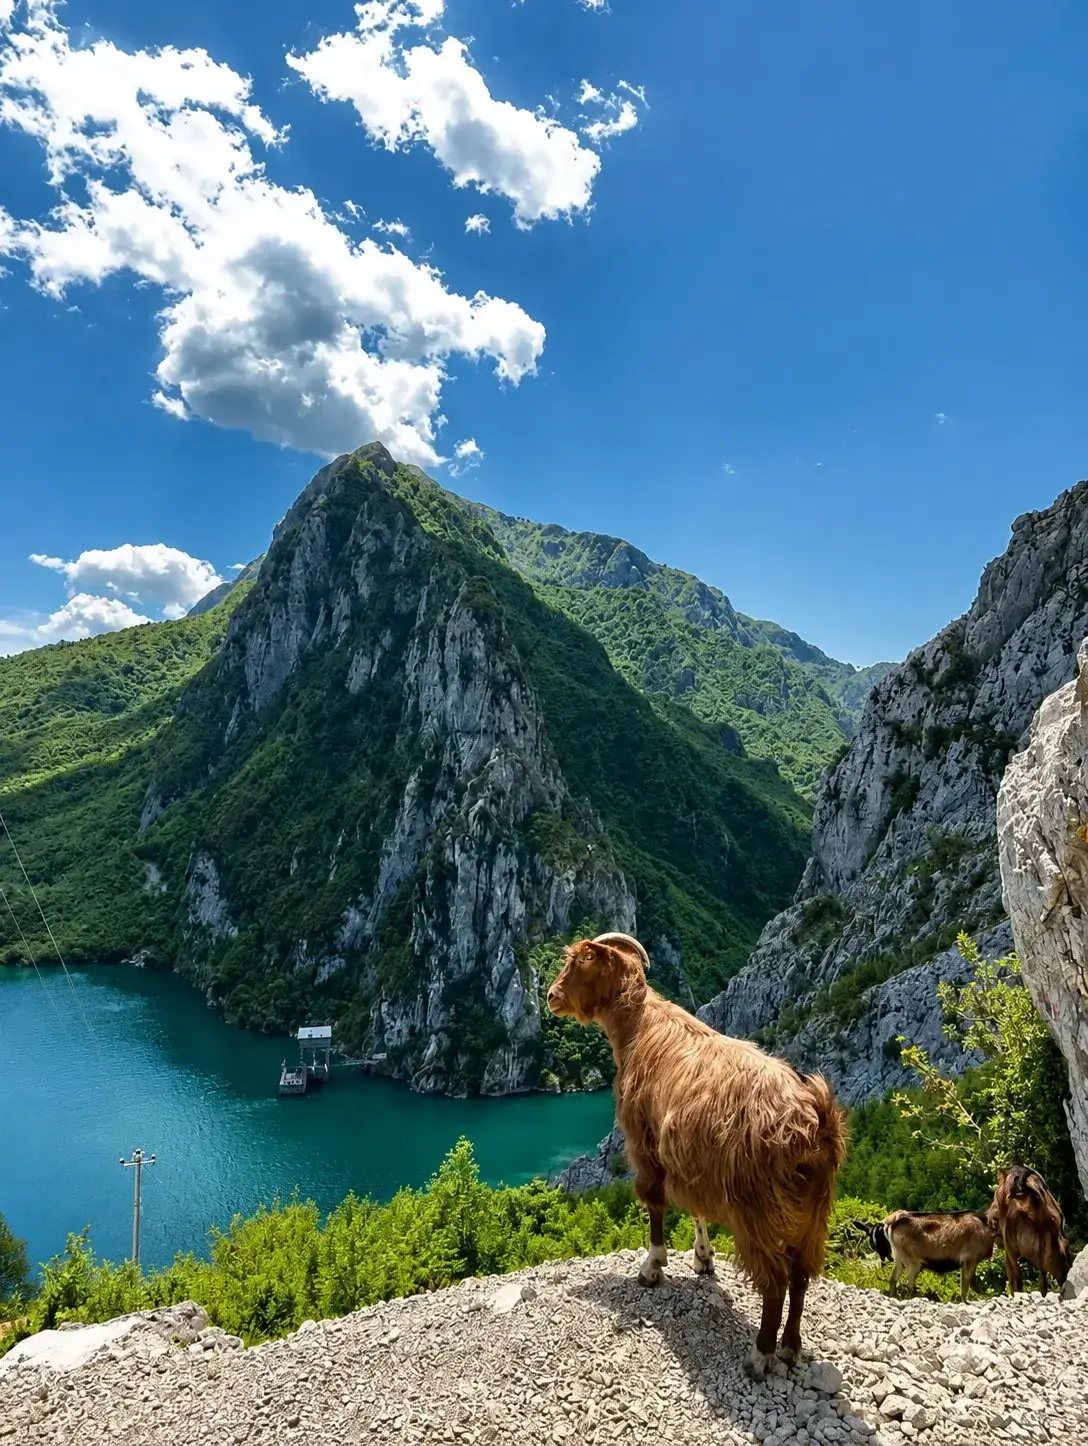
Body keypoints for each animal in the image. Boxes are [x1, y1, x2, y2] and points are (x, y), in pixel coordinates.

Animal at [547, 932, 847, 1380]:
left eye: (583, 960)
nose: (551, 996)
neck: (639, 1026)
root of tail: (814, 1121)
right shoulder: (691, 1160)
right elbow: (696, 1209)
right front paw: (703, 1258)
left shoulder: (645, 1142)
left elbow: (655, 1203)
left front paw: (652, 1267)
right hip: (815, 1214)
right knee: (800, 1277)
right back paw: (791, 1346)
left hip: (758, 1211)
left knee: (776, 1283)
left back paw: (760, 1355)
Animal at [854, 1211, 996, 1301]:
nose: (884, 1258)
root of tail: (891, 1224)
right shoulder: (970, 1257)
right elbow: (969, 1285)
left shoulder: (964, 1262)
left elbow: (964, 1287)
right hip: (912, 1261)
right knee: (909, 1285)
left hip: (899, 1258)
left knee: (893, 1279)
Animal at [988, 1166, 1072, 1297]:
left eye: (995, 1199)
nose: (989, 1218)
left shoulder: (1009, 1252)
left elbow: (1014, 1280)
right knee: (1050, 1278)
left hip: (1013, 1249)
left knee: (1019, 1279)